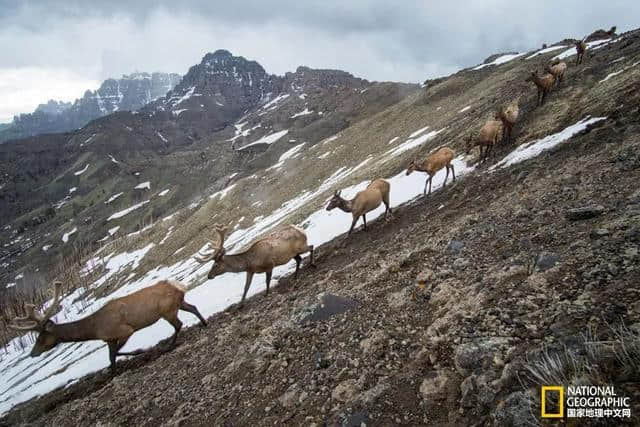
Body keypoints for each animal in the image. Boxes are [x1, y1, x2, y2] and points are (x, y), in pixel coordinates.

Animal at [9, 280, 208, 374]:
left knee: (179, 324)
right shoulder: (109, 339)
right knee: (192, 308)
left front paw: (139, 351)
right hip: (178, 304)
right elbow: (111, 356)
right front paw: (113, 370)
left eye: (41, 337)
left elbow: (114, 354)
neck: (95, 329)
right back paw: (204, 323)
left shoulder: (124, 330)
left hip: (167, 311)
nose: (32, 353)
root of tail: (177, 286)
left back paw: (169, 345)